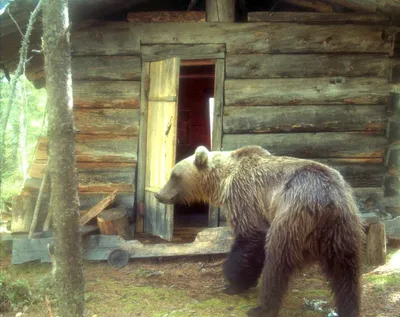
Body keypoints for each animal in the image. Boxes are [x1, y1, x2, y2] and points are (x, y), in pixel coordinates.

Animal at [154, 144, 366, 314]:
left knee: (276, 263)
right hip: (344, 229)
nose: (159, 194)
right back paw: (349, 307)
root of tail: (328, 201)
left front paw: (233, 281)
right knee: (346, 273)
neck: (222, 181)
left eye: (173, 174)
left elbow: (251, 236)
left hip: (291, 218)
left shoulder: (244, 196)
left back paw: (261, 308)